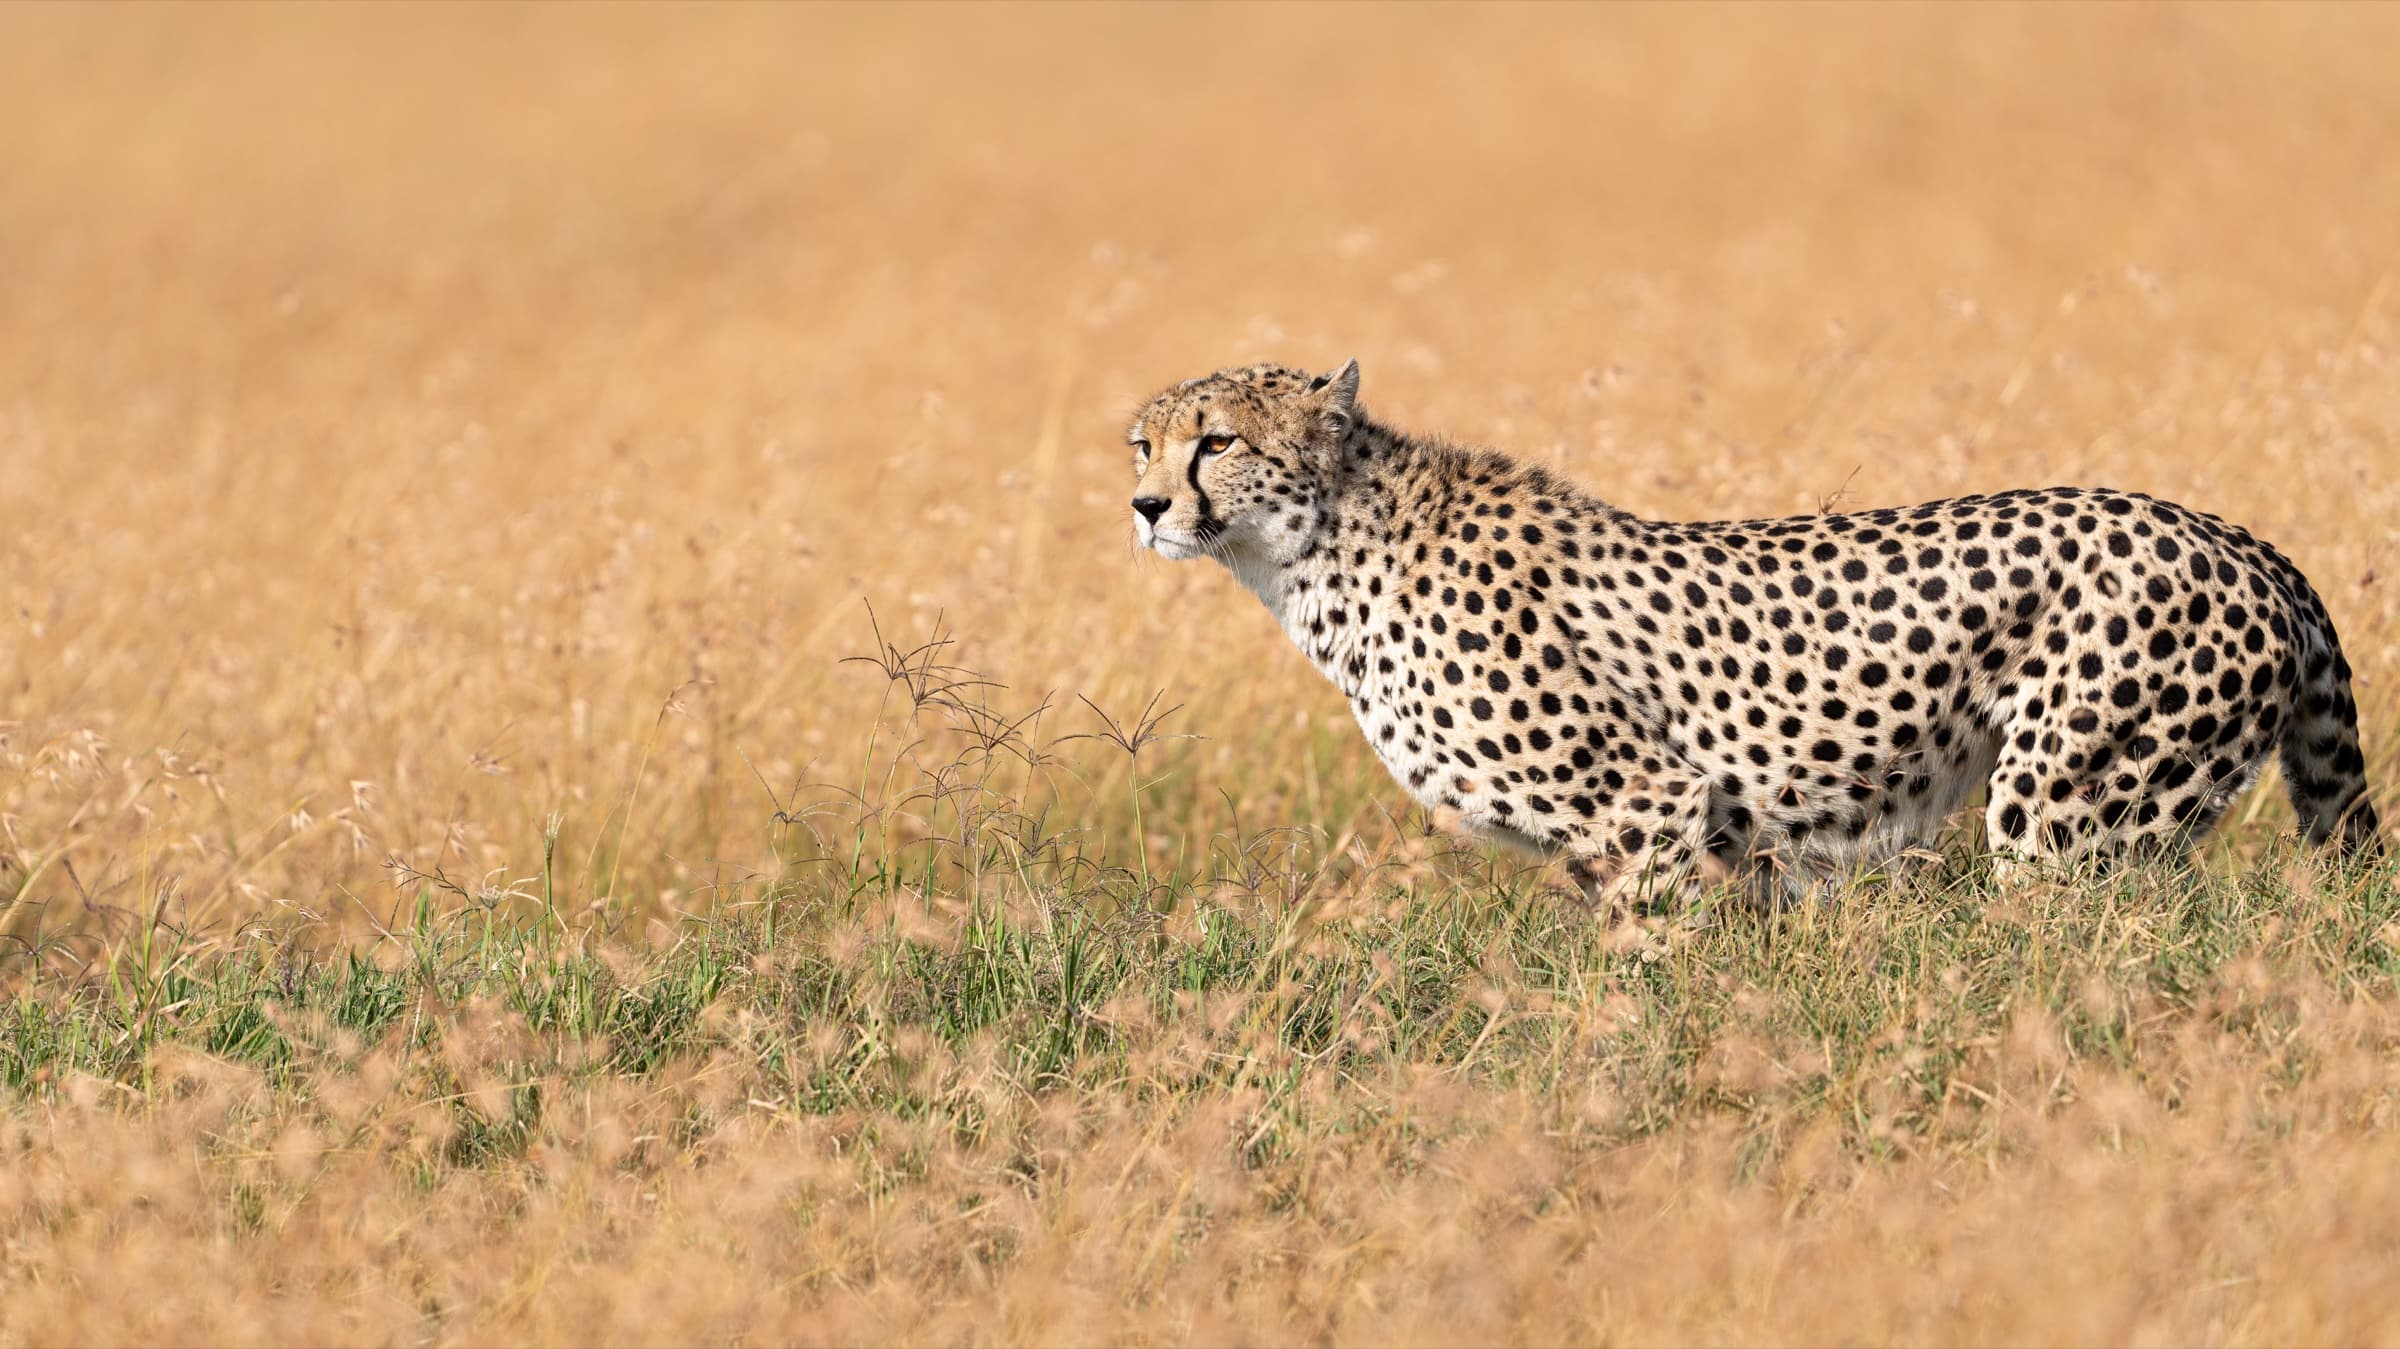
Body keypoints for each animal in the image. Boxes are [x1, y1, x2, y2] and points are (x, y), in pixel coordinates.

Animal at [1124, 359, 2380, 907]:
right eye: (1143, 442)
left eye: (1218, 440)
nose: (1143, 506)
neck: (1315, 555)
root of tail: (2235, 535)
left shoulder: (1647, 804)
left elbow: (1643, 976)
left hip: (2071, 814)